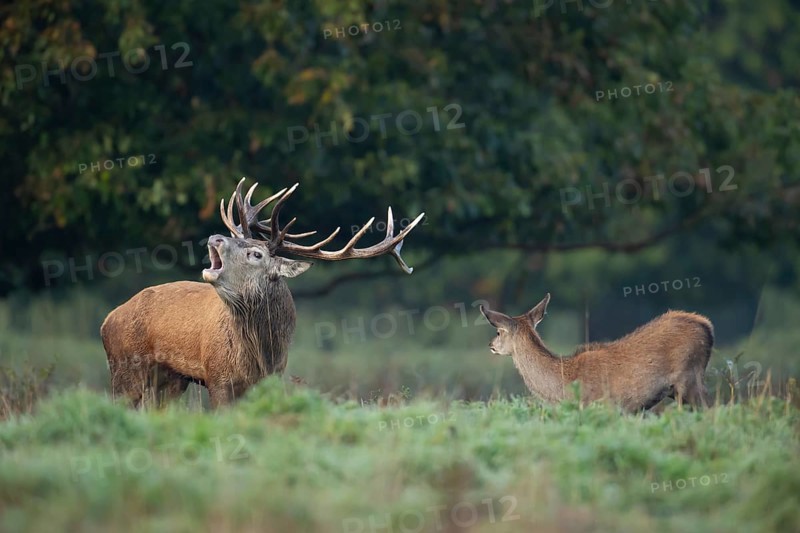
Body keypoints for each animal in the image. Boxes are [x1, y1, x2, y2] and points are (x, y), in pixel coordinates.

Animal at [101, 178, 424, 408]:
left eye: (256, 253)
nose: (215, 237)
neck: (260, 355)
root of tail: (107, 321)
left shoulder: (271, 378)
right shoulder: (218, 377)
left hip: (170, 379)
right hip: (124, 367)